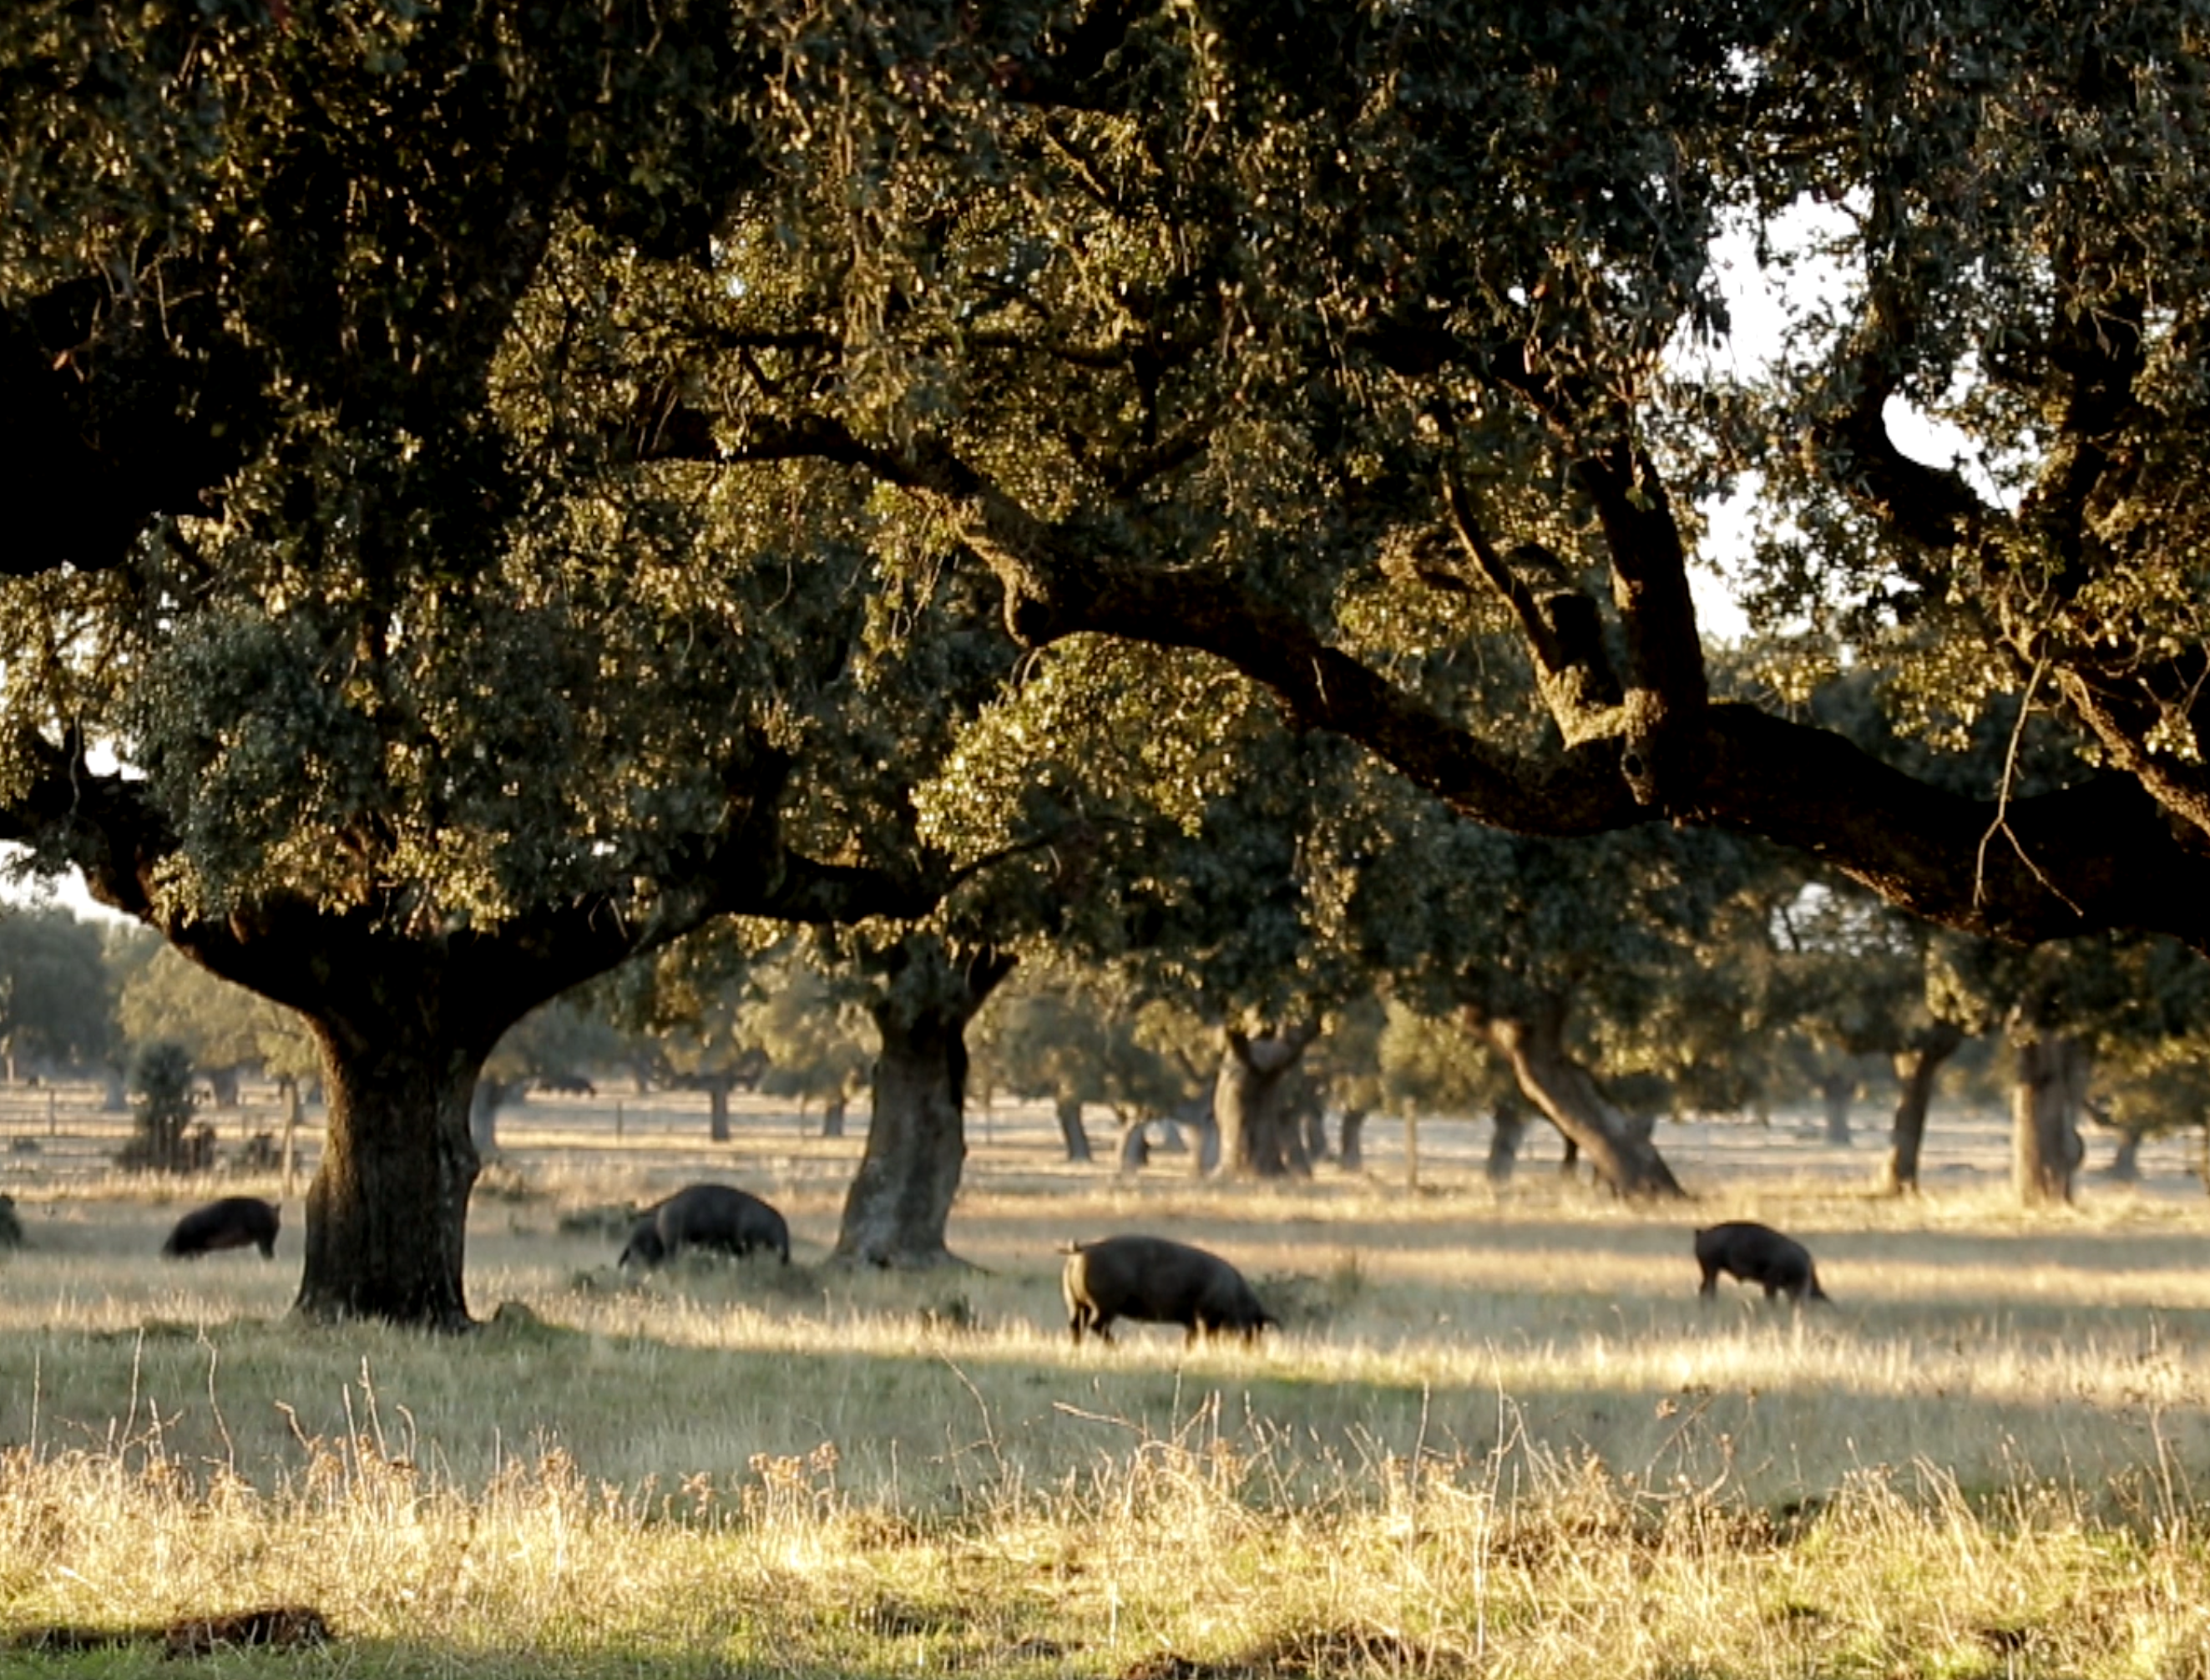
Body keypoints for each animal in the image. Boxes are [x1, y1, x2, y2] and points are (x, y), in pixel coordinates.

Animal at [1056, 1228, 1272, 1343]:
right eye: (1253, 1325)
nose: (1252, 1349)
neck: (1235, 1297)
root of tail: (1082, 1249)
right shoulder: (1204, 1316)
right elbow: (1206, 1337)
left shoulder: (1191, 1321)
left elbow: (1191, 1340)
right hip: (1106, 1304)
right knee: (1095, 1325)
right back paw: (1117, 1347)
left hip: (1074, 1302)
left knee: (1075, 1325)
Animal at [1688, 1228, 1829, 1308]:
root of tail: (1701, 1234)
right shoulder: (1771, 1280)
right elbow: (1771, 1299)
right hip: (1711, 1268)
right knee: (1709, 1289)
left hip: (1708, 1270)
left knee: (1704, 1288)